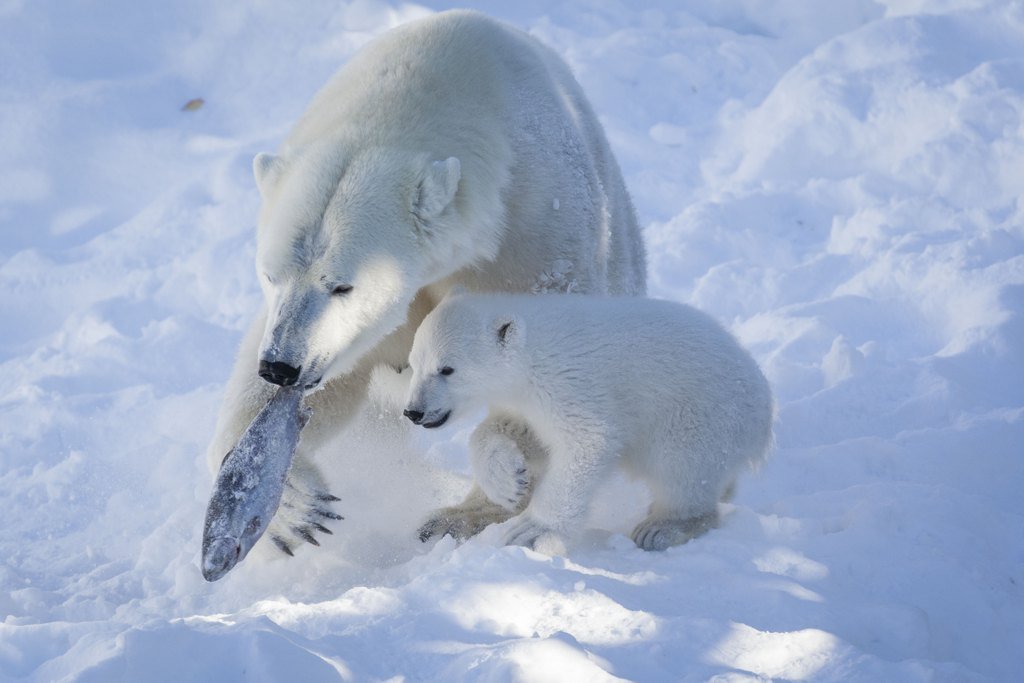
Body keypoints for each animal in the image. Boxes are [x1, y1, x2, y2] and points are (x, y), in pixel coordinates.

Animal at [203, 9, 643, 557]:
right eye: (270, 274)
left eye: (342, 286)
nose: (281, 367)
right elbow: (334, 381)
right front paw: (291, 506)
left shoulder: (534, 226)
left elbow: (539, 357)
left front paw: (499, 475)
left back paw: (458, 517)